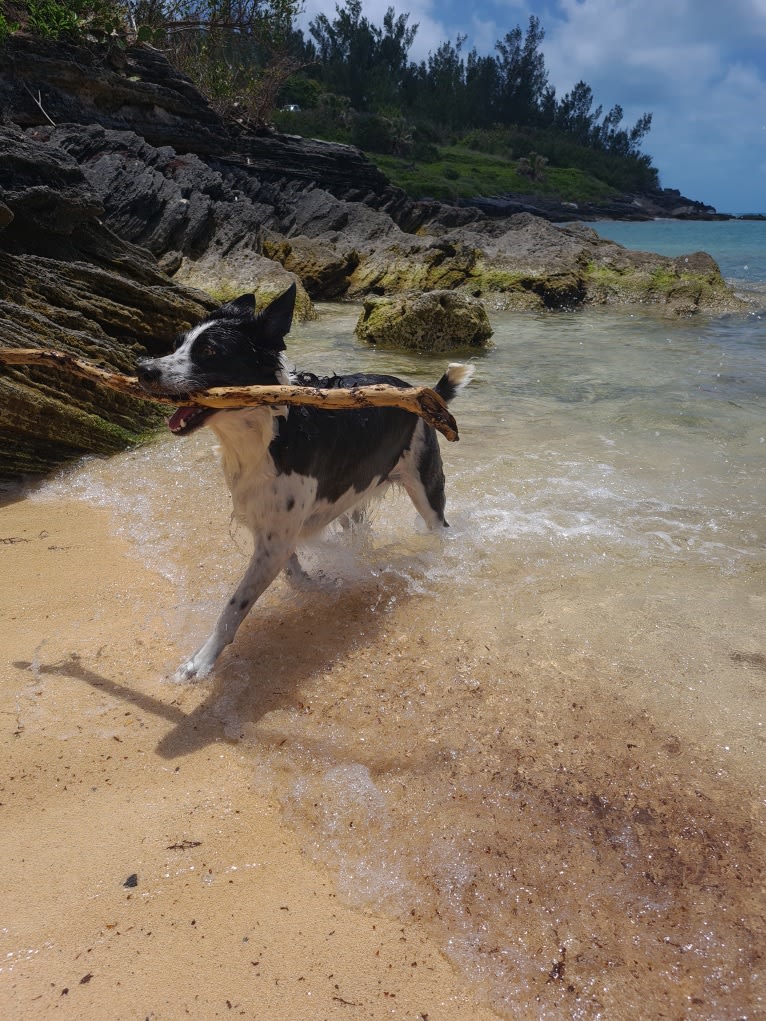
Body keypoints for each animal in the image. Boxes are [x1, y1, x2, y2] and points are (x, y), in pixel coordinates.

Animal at [136, 283, 473, 682]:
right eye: (177, 344)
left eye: (209, 351)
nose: (142, 369)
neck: (267, 430)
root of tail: (414, 389)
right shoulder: (275, 532)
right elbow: (294, 574)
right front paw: (319, 583)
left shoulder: (276, 538)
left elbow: (235, 605)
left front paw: (202, 660)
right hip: (353, 496)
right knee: (357, 528)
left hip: (426, 486)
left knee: (438, 525)